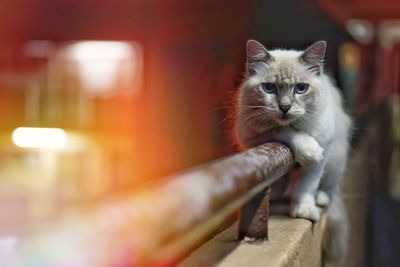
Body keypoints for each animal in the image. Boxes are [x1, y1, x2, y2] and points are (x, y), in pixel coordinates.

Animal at [234, 40, 350, 262]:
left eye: (301, 88)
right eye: (269, 88)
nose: (285, 107)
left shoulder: (322, 155)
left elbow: (307, 186)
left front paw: (305, 210)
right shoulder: (256, 136)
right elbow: (284, 130)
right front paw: (307, 148)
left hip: (336, 160)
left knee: (328, 189)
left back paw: (320, 199)